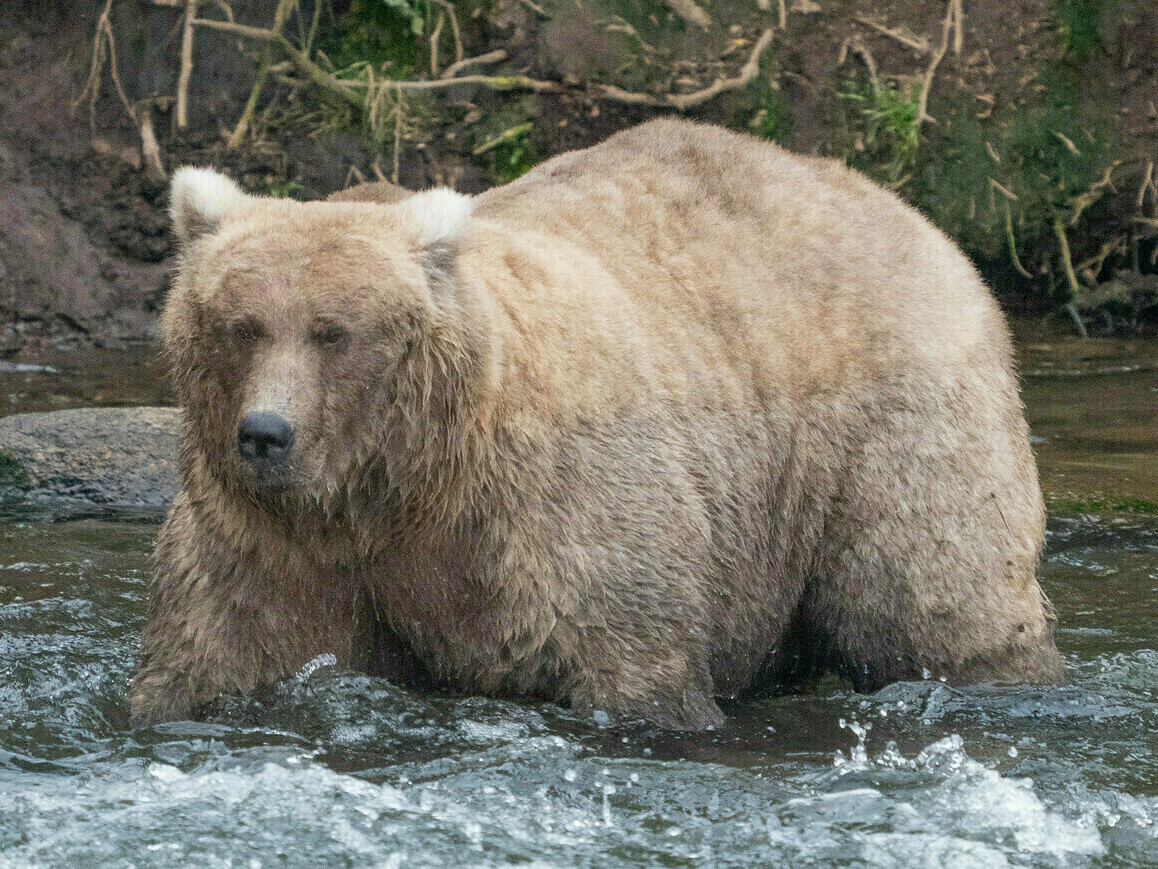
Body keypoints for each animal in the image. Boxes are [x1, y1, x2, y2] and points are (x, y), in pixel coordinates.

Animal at [128, 118, 1066, 729]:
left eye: (334, 331)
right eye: (240, 324)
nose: (265, 433)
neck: (401, 481)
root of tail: (911, 214)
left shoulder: (550, 509)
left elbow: (628, 654)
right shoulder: (272, 538)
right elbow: (219, 647)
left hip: (890, 425)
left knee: (932, 596)